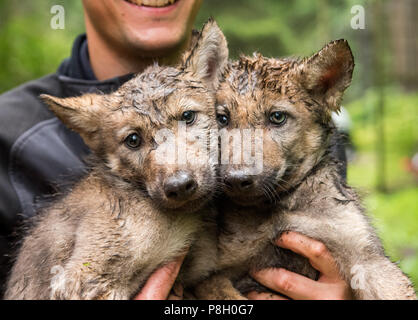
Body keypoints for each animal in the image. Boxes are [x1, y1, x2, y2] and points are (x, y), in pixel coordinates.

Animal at [198, 40, 416, 300]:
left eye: (277, 117)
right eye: (222, 119)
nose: (236, 179)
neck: (279, 207)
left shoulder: (365, 255)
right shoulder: (206, 274)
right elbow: (223, 292)